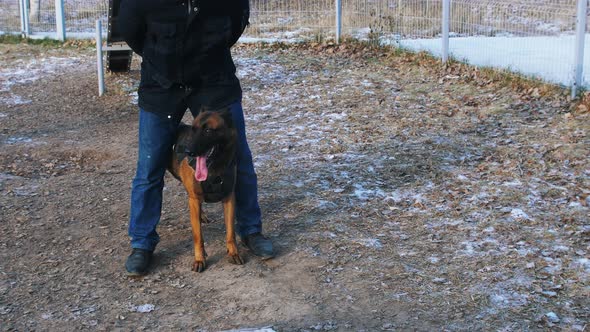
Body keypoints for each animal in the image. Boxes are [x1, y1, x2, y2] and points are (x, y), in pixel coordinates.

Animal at [169, 110, 245, 272]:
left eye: (208, 131)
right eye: (193, 129)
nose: (188, 151)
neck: (214, 169)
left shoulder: (229, 198)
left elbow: (231, 232)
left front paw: (233, 253)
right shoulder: (194, 199)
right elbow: (198, 236)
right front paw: (199, 259)